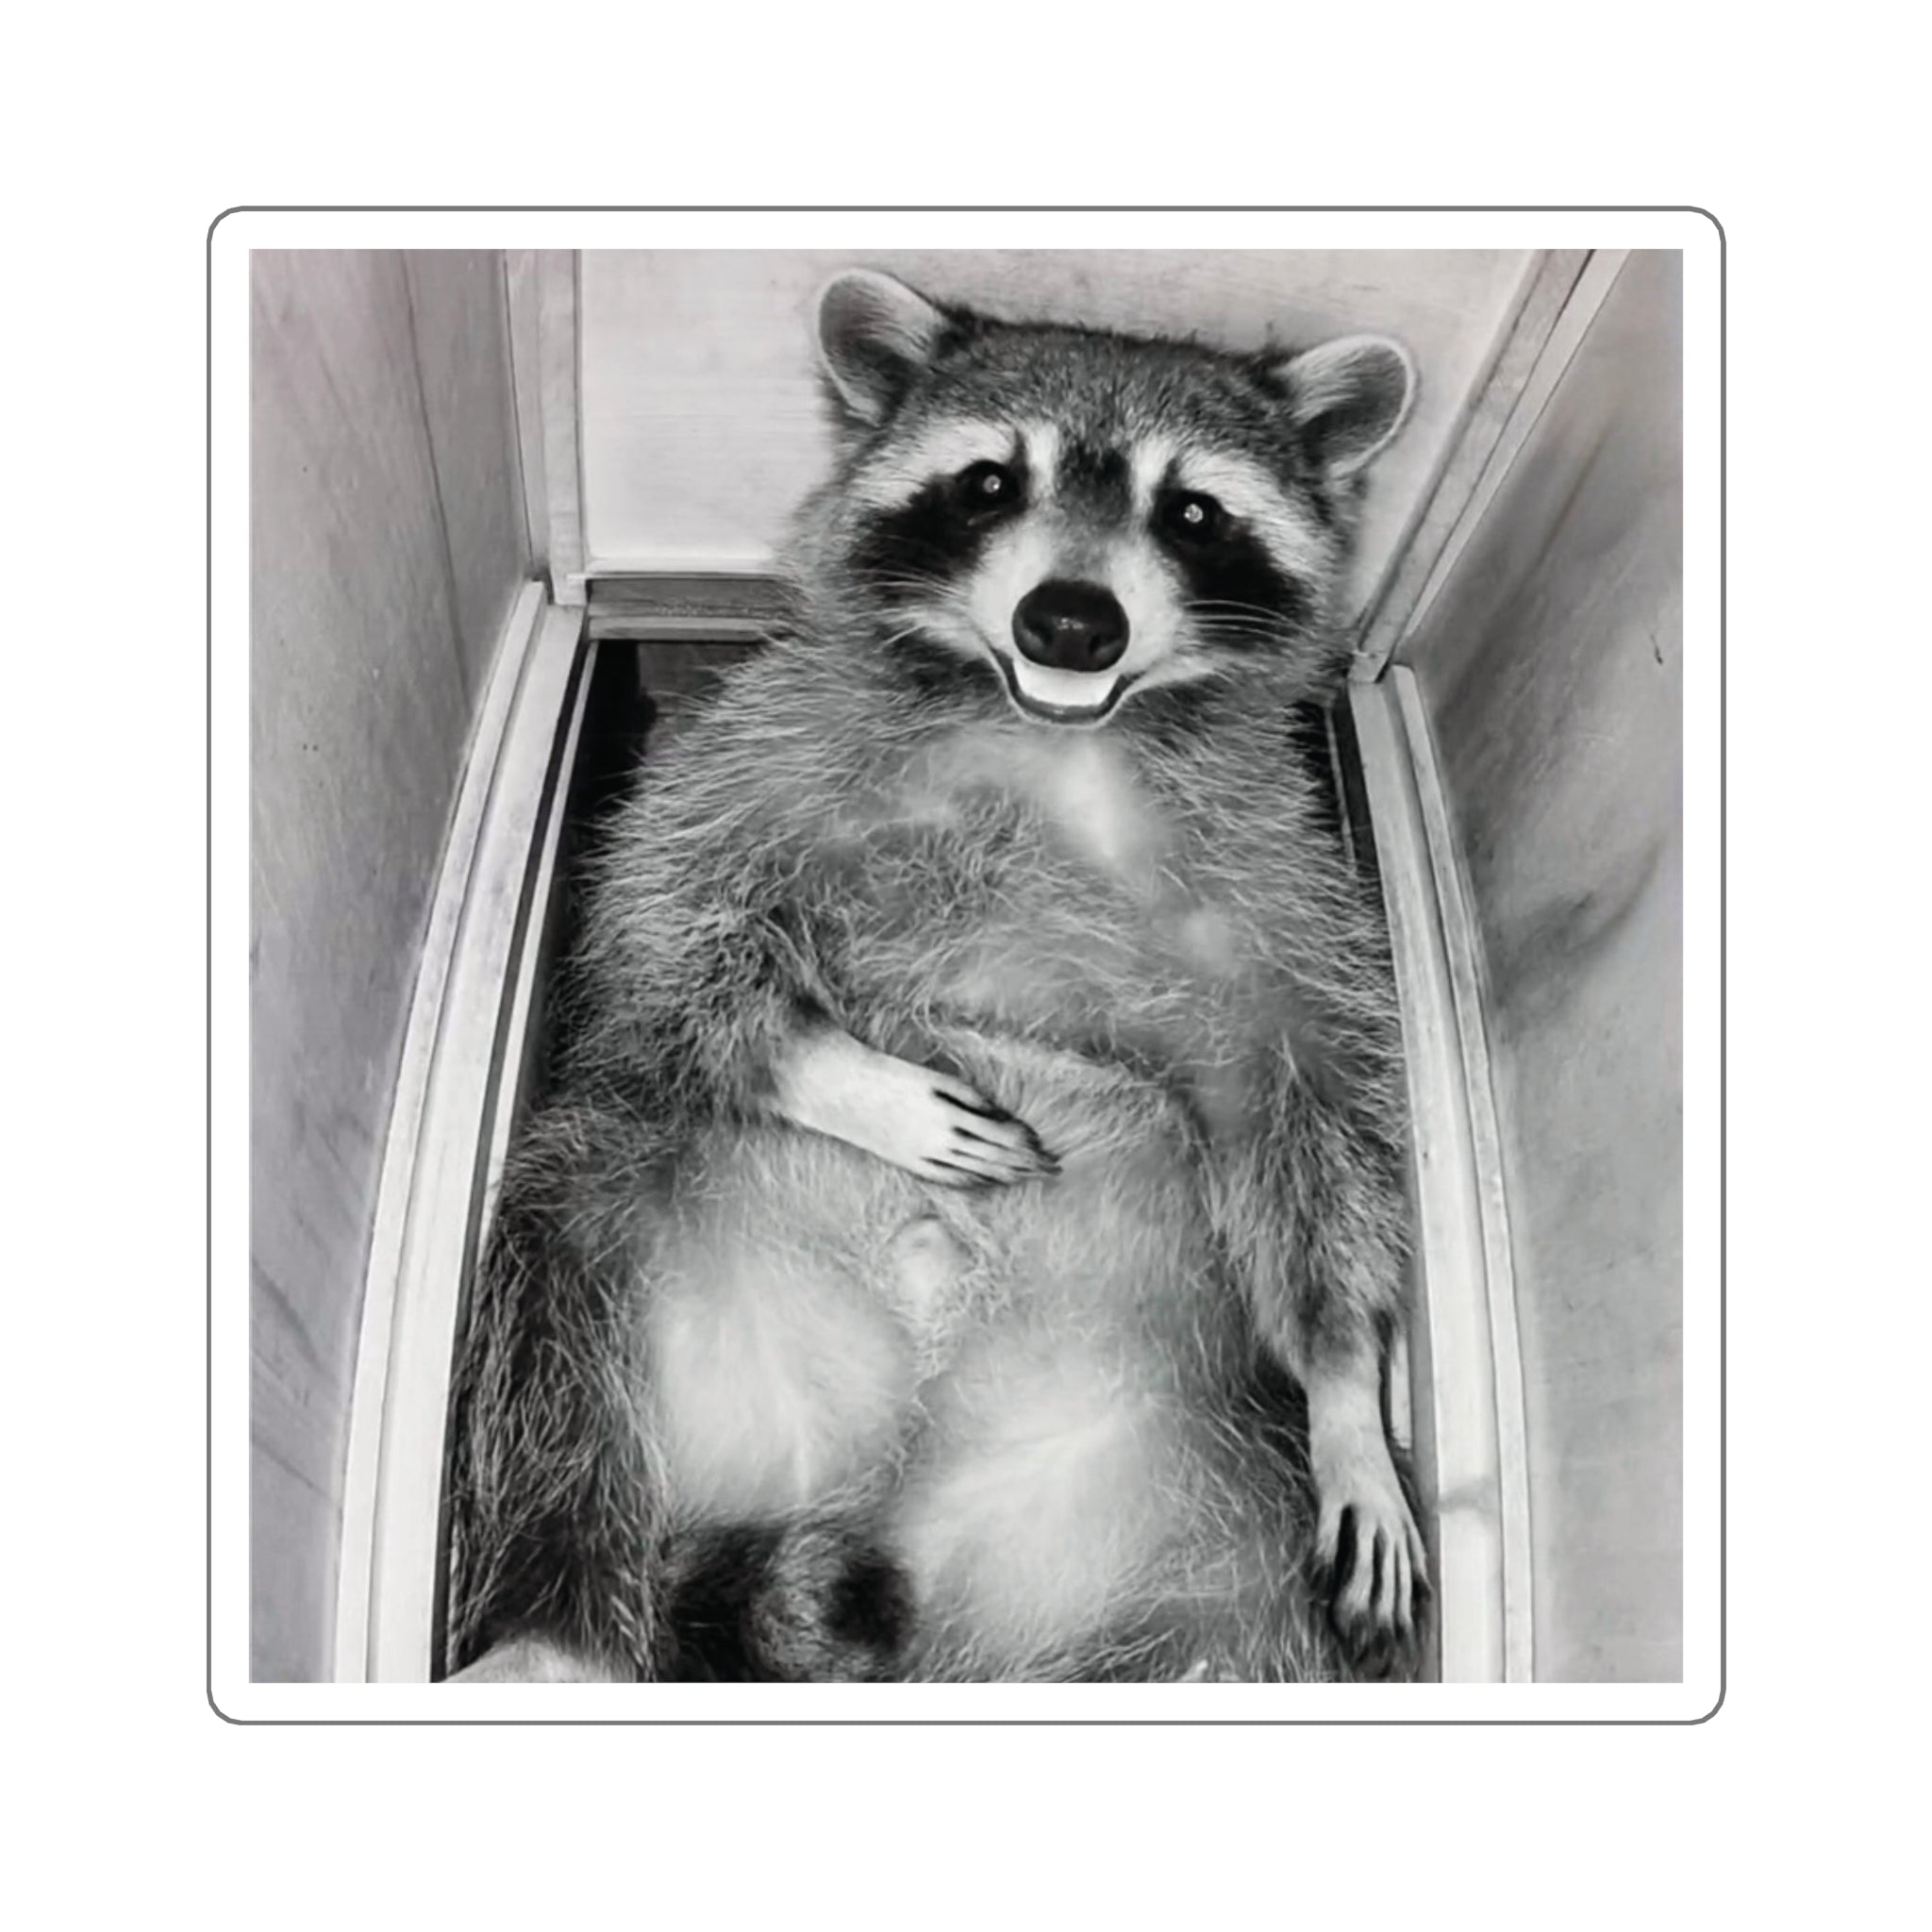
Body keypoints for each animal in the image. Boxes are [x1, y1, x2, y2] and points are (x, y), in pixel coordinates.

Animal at [444, 269, 1427, 1684]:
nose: (1070, 622)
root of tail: (884, 1490)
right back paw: (550, 1621)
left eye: (1190, 510)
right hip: (652, 1241)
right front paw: (839, 1070)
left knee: (1244, 1630)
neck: (1055, 734)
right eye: (989, 483)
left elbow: (1315, 1111)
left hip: (1199, 1486)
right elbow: (658, 929)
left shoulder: (1284, 879)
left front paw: (1348, 1379)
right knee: (558, 1291)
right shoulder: (764, 740)